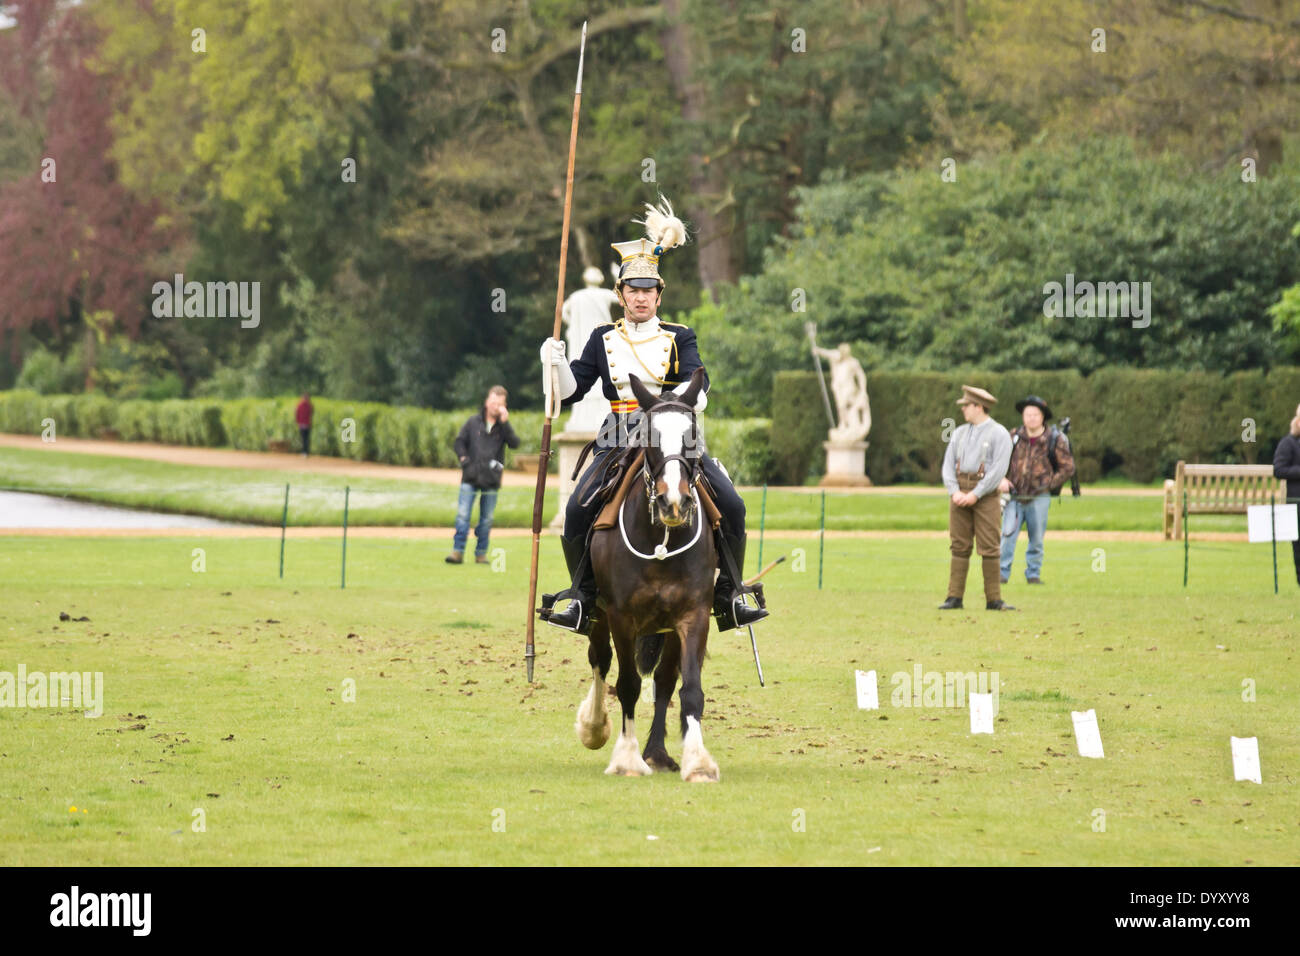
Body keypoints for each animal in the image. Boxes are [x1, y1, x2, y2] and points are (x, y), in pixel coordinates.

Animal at [574, 369, 722, 780]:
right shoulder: (621, 616)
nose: (675, 503)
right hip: (598, 613)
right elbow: (626, 684)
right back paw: (594, 726)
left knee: (665, 680)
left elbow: (689, 688)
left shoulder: (693, 614)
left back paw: (657, 751)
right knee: (600, 659)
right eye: (647, 438)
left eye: (693, 436)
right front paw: (626, 758)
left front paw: (698, 761)